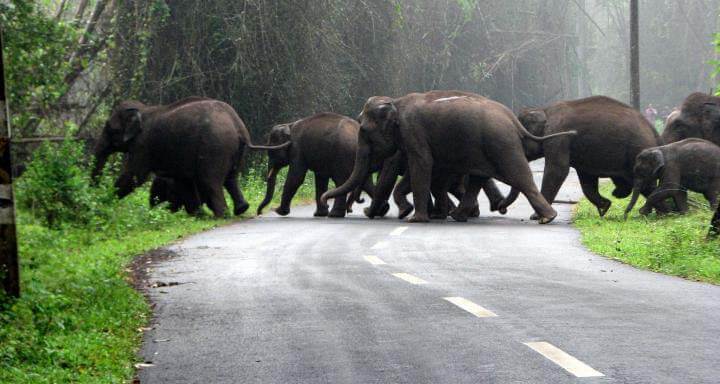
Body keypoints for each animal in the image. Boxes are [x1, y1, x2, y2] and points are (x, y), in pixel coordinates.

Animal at [91, 97, 288, 216]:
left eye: (110, 129)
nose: (94, 188)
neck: (142, 109)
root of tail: (238, 128)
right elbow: (182, 179)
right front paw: (196, 214)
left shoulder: (142, 145)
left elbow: (134, 176)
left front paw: (102, 202)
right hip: (233, 150)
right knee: (230, 178)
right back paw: (240, 210)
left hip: (214, 146)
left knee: (210, 180)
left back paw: (221, 215)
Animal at [320, 91, 572, 224]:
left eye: (363, 130)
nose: (323, 197)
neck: (395, 101)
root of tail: (513, 119)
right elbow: (427, 170)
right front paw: (429, 214)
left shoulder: (413, 132)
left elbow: (421, 165)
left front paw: (414, 219)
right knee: (478, 178)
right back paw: (461, 215)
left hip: (502, 144)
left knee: (519, 176)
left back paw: (547, 217)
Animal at [498, 95, 660, 218]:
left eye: (520, 138)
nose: (501, 209)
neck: (545, 110)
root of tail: (654, 132)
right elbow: (586, 179)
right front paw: (605, 206)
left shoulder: (558, 136)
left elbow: (558, 170)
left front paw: (535, 216)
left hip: (637, 151)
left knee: (646, 185)